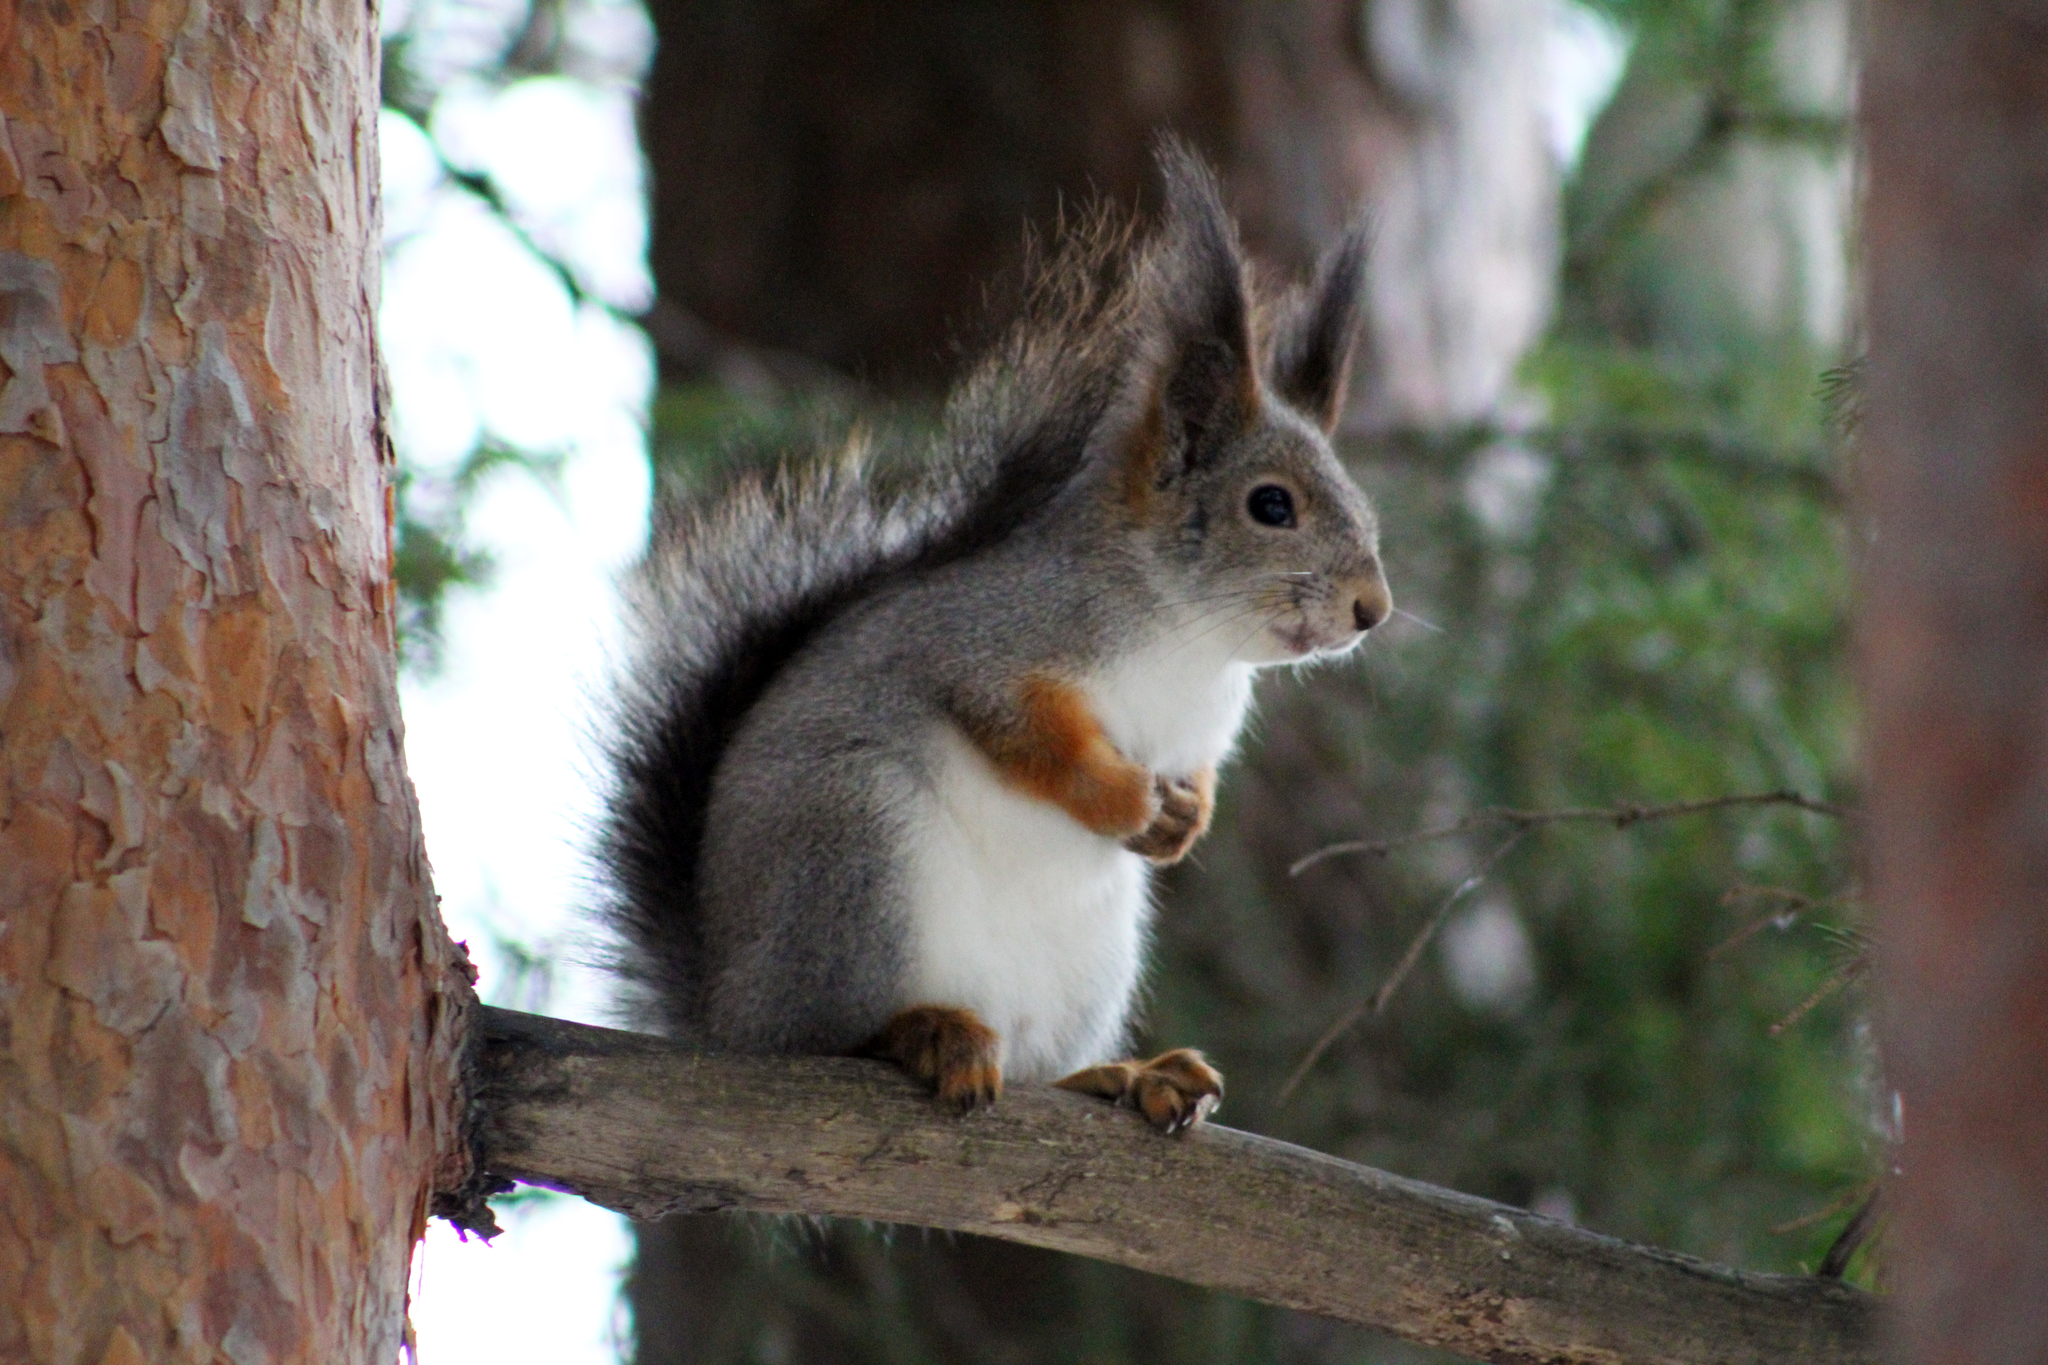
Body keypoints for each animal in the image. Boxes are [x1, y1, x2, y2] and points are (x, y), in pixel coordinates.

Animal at [598, 144, 1392, 1137]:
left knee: (1044, 1069)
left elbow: (1198, 776)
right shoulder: (988, 644)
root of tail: (723, 1012)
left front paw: (1186, 820)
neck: (1189, 635)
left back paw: (1124, 1075)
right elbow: (1023, 732)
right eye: (1272, 506)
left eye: (1364, 508)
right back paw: (924, 1032)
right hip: (853, 851)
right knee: (833, 1033)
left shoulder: (1199, 732)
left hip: (1087, 954)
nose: (1373, 608)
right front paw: (1121, 800)